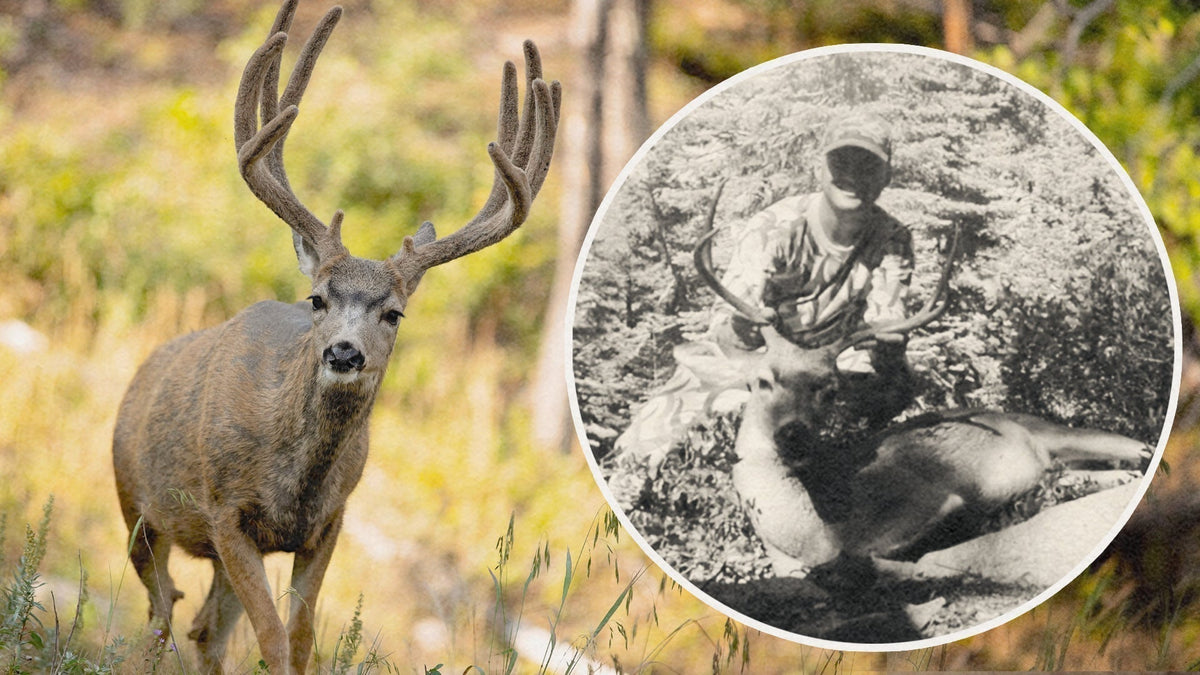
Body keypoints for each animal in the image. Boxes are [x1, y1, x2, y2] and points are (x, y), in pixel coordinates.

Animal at [110, 2, 559, 672]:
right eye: (317, 298)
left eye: (394, 314)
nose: (343, 351)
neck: (294, 479)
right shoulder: (224, 512)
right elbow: (273, 639)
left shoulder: (329, 524)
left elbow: (300, 637)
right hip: (136, 509)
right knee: (160, 616)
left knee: (202, 627)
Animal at [692, 186, 1152, 580]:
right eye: (762, 381)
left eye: (830, 389)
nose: (794, 434)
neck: (809, 530)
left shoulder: (921, 493)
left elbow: (870, 550)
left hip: (1059, 434)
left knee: (1136, 452)